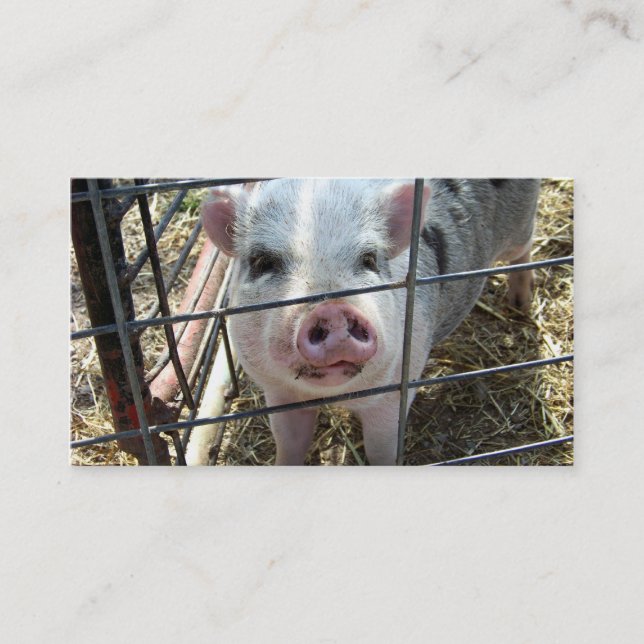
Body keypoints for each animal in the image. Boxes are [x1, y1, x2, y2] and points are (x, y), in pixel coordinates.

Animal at [197, 178, 540, 465]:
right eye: (263, 262)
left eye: (369, 259)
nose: (332, 310)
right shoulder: (279, 392)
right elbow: (289, 442)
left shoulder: (395, 390)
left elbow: (381, 450)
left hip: (520, 228)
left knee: (524, 250)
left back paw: (520, 304)